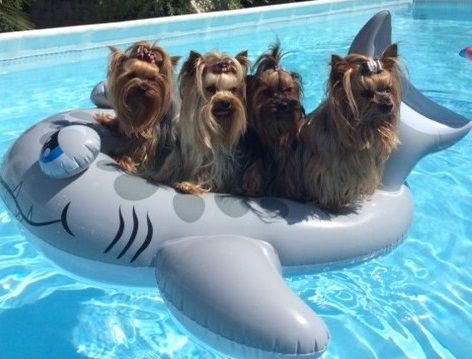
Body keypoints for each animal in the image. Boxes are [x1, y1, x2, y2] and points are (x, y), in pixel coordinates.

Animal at [95, 40, 179, 174]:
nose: (143, 87)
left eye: (152, 79)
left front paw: (123, 158)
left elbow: (141, 151)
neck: (140, 105)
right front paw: (105, 120)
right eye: (131, 75)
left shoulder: (152, 137)